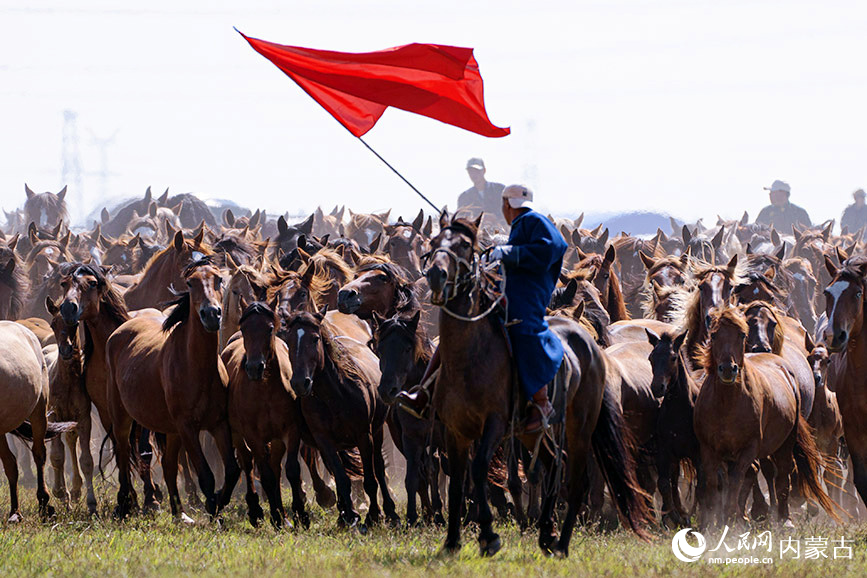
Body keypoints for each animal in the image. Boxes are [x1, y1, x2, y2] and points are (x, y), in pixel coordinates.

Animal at [105, 256, 240, 521]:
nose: (211, 314)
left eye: (219, 279)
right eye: (190, 282)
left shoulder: (219, 424)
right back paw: (124, 505)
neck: (196, 367)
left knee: (167, 465)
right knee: (124, 454)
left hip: (171, 430)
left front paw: (219, 502)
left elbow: (231, 470)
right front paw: (213, 510)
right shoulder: (188, 428)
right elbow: (206, 476)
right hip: (122, 417)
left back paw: (180, 513)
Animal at [226, 300, 309, 529]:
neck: (265, 390)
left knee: (275, 465)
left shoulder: (291, 430)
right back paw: (256, 510)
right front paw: (276, 517)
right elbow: (266, 476)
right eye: (244, 327)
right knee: (247, 462)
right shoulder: (253, 435)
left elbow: (291, 470)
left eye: (270, 328)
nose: (254, 367)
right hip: (237, 434)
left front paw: (299, 514)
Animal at [282, 308, 399, 529]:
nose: (300, 383)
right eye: (289, 340)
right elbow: (342, 477)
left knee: (379, 469)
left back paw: (390, 512)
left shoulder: (364, 436)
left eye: (315, 338)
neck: (336, 395)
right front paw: (350, 516)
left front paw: (373, 515)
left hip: (377, 431)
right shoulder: (325, 441)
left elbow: (371, 479)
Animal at [425, 213, 650, 557]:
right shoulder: (458, 430)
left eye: (465, 245)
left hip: (576, 427)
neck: (470, 357)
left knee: (572, 475)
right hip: (535, 431)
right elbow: (465, 478)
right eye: (435, 242)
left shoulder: (496, 423)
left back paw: (561, 536)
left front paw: (491, 533)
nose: (436, 275)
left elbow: (481, 469)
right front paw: (457, 538)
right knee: (552, 466)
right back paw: (545, 528)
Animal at [693, 304, 836, 527]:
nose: (728, 369)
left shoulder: (748, 449)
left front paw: (731, 519)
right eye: (714, 335)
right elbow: (712, 482)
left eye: (742, 335)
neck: (727, 404)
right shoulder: (708, 449)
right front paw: (709, 523)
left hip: (785, 443)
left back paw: (784, 518)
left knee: (783, 473)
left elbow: (737, 480)